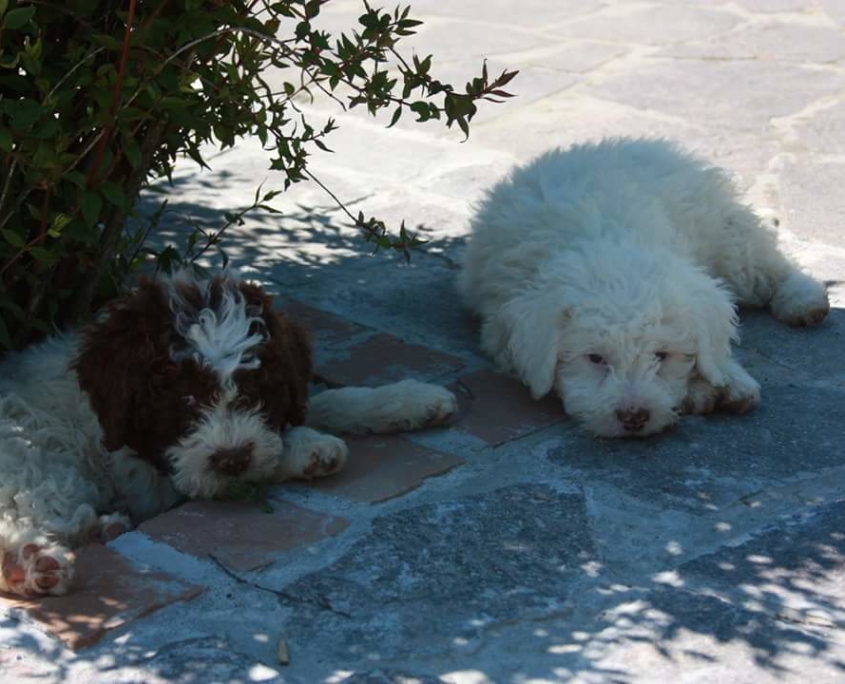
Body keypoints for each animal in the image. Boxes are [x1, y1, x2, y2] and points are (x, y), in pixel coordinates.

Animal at [0, 270, 454, 596]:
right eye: (184, 400)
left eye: (252, 392)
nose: (232, 458)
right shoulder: (152, 472)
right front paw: (310, 448)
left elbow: (322, 403)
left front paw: (413, 400)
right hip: (40, 468)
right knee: (25, 519)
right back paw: (36, 562)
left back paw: (101, 531)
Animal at [458, 139, 828, 438]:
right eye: (595, 358)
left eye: (660, 355)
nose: (634, 417)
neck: (607, 241)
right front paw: (699, 391)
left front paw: (729, 378)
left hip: (727, 239)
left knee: (767, 265)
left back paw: (803, 299)